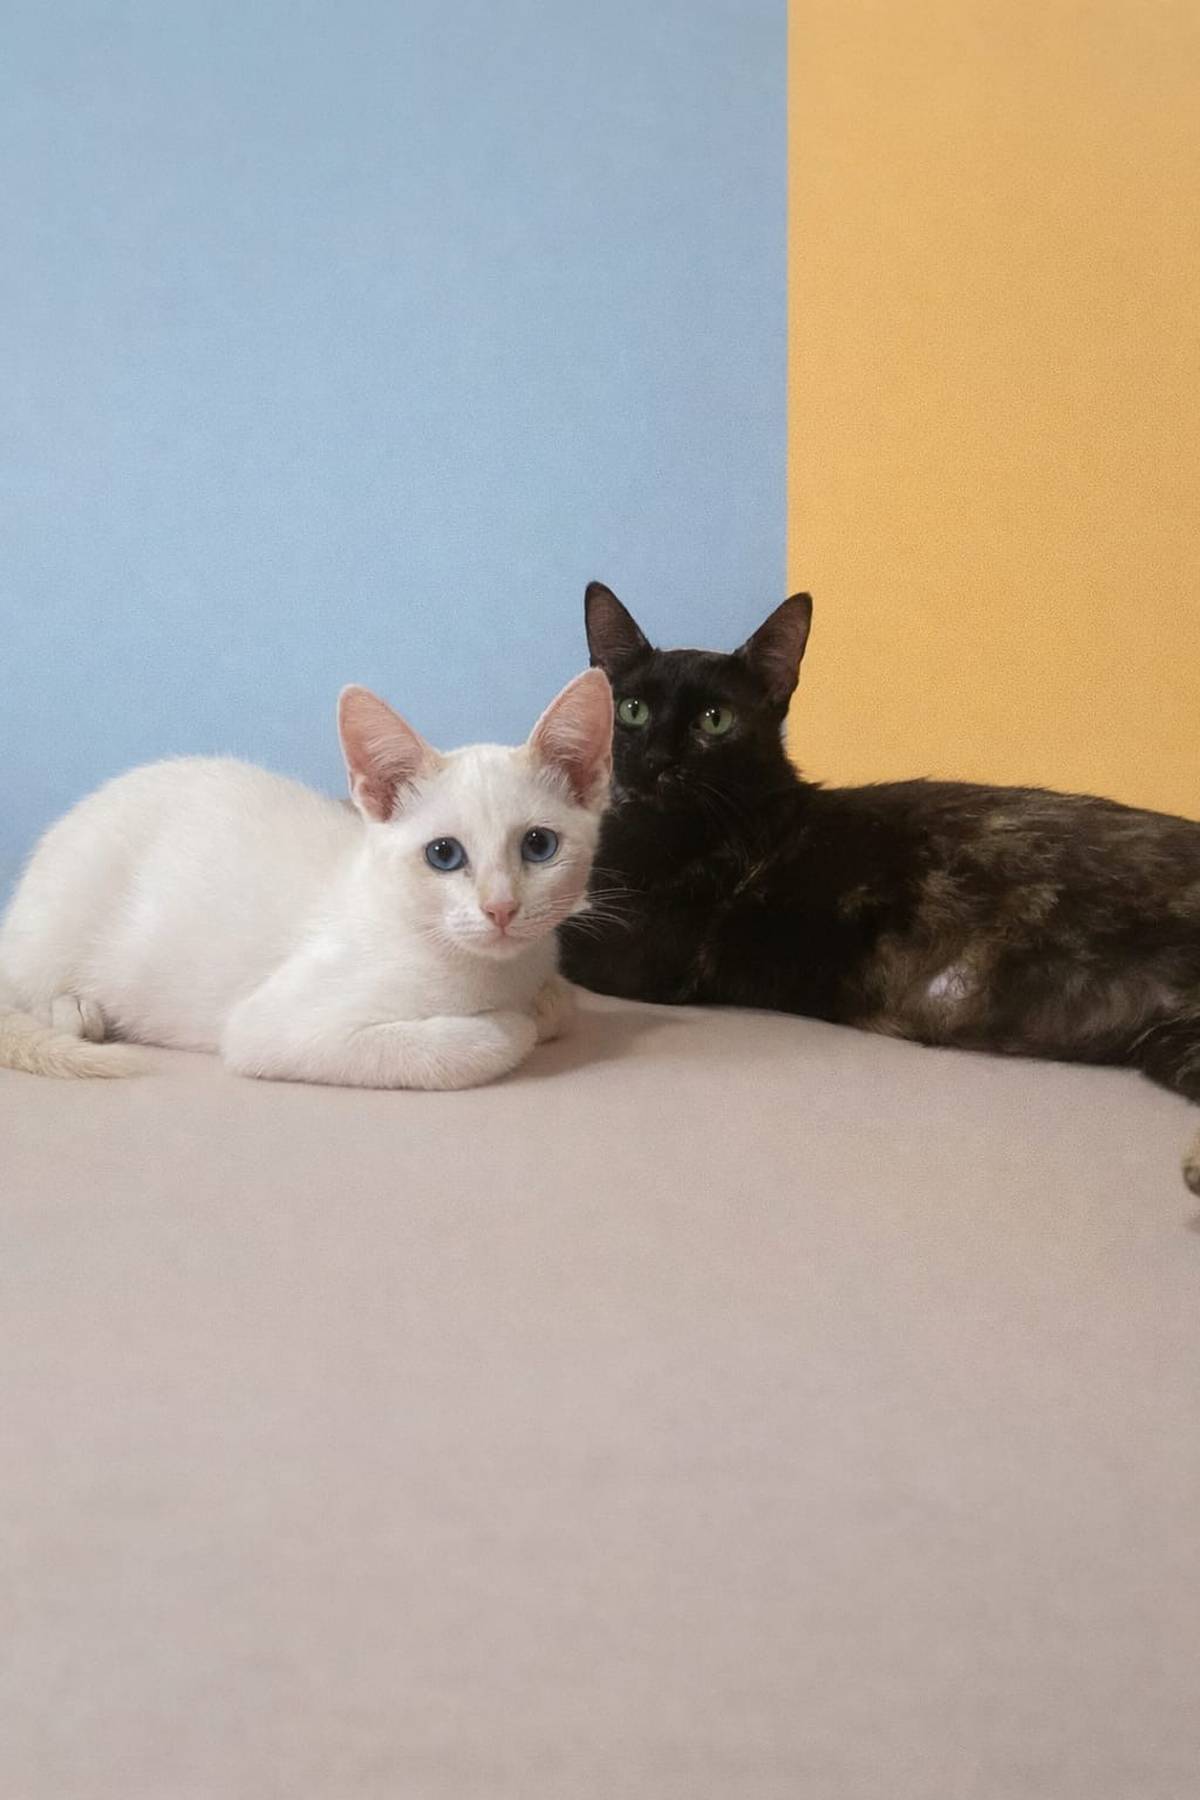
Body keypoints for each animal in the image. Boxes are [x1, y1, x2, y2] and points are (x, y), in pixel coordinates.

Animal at [0, 670, 612, 1090]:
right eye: (443, 854)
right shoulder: (276, 1029)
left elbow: (560, 1002)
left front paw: (544, 1002)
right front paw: (514, 1021)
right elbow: (475, 1042)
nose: (501, 908)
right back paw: (74, 1010)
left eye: (539, 845)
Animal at [559, 582, 1200, 1191]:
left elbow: (563, 937)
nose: (656, 760)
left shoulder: (639, 953)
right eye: (633, 710)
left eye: (715, 720)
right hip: (1168, 1045)